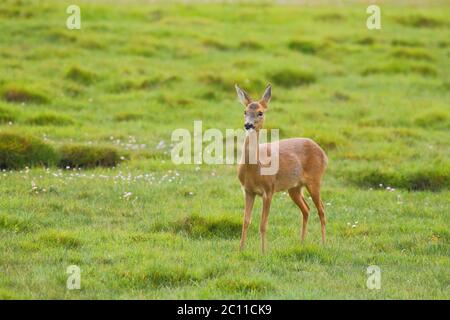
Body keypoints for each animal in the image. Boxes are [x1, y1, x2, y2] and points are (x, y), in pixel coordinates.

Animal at [236, 84, 326, 252]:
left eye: (260, 112)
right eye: (245, 111)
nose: (248, 125)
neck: (256, 168)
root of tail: (323, 153)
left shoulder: (269, 190)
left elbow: (263, 224)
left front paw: (263, 251)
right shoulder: (248, 191)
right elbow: (246, 221)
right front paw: (241, 249)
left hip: (315, 181)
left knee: (321, 210)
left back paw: (324, 244)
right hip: (294, 188)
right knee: (306, 209)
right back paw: (302, 242)